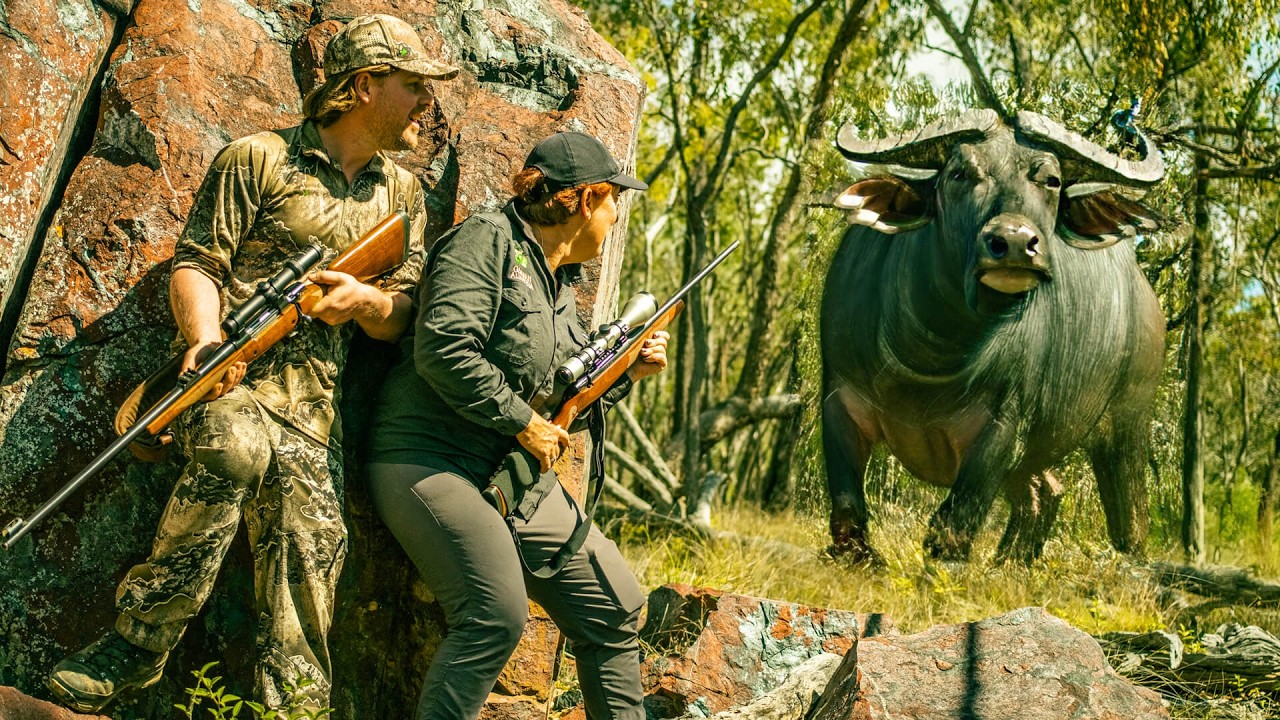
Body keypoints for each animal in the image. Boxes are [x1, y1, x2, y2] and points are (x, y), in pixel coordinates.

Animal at [819, 109, 1172, 563]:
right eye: (959, 173)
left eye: (1052, 180)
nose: (1016, 242)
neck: (933, 355)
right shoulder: (839, 397)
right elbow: (847, 508)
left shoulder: (1004, 424)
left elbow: (953, 526)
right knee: (1045, 491)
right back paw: (1011, 561)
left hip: (1129, 421)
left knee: (1130, 518)